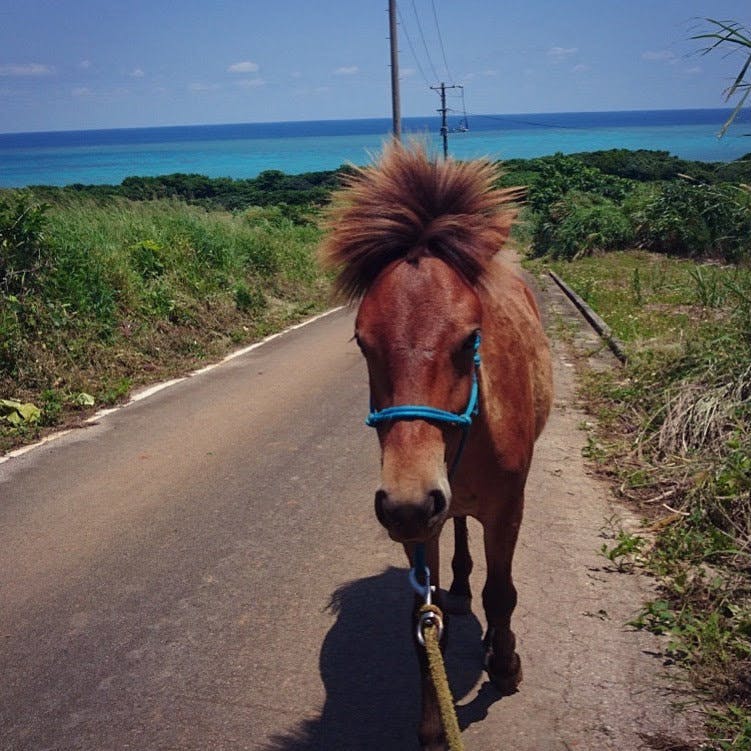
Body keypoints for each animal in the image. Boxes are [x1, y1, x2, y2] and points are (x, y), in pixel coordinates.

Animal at [320, 142, 556, 751]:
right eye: (363, 342)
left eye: (470, 338)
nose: (409, 500)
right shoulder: (415, 523)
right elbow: (424, 621)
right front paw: (432, 725)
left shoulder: (508, 510)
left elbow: (502, 594)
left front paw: (505, 665)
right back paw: (458, 580)